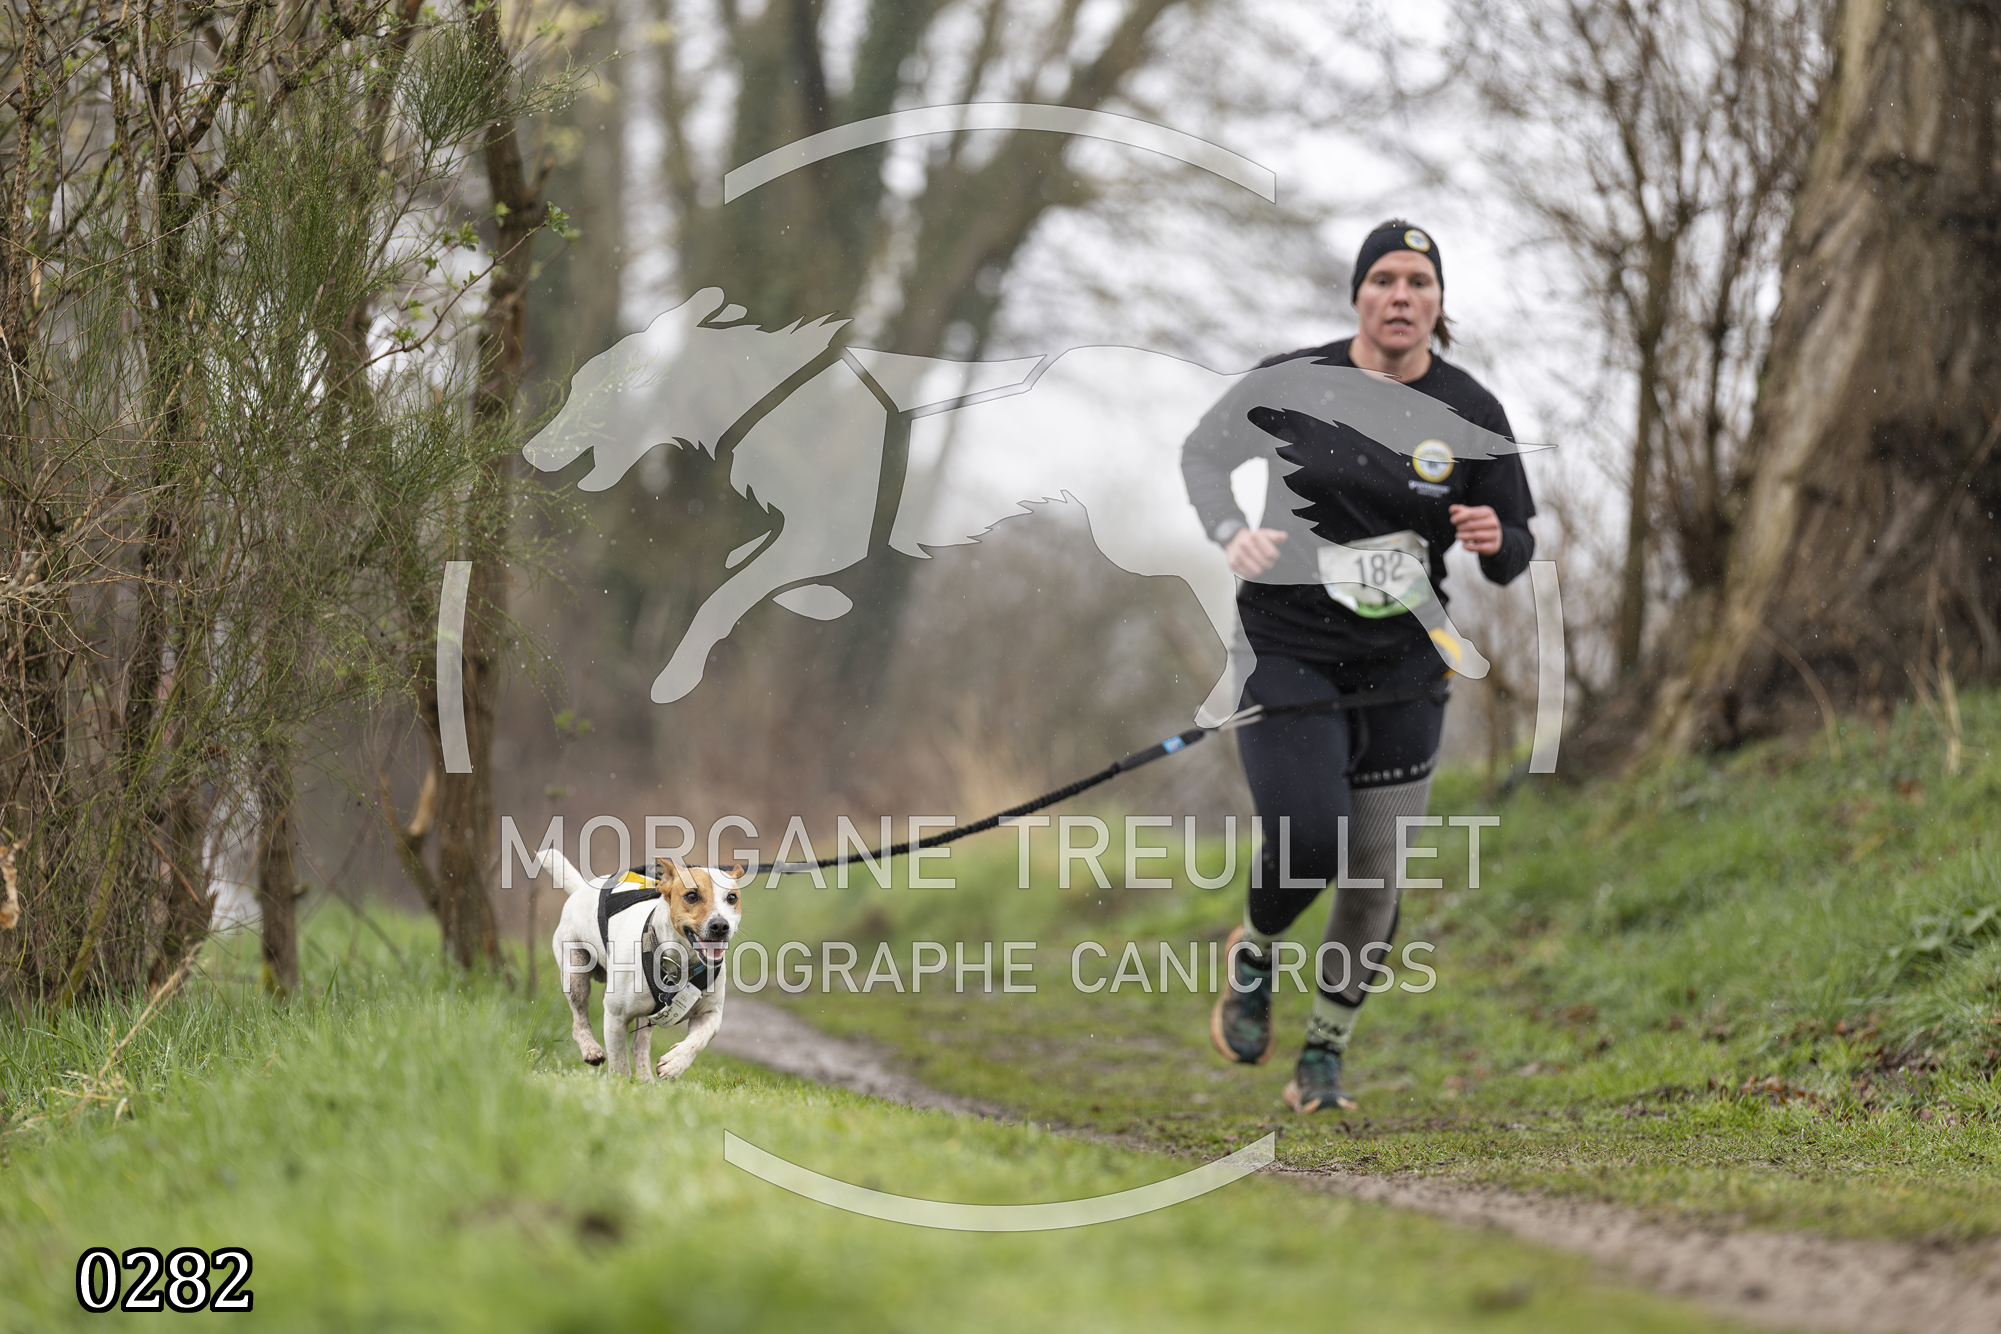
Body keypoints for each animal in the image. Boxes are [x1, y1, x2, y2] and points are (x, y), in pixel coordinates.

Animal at [542, 849, 743, 1081]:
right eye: (692, 896)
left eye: (732, 898)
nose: (720, 926)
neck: (680, 962)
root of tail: (581, 889)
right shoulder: (616, 1016)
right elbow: (619, 1062)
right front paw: (620, 1083)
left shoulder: (710, 1013)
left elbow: (698, 1040)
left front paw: (675, 1063)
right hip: (575, 973)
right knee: (579, 1018)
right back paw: (591, 1050)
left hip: (649, 1012)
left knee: (640, 1044)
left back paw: (645, 1080)